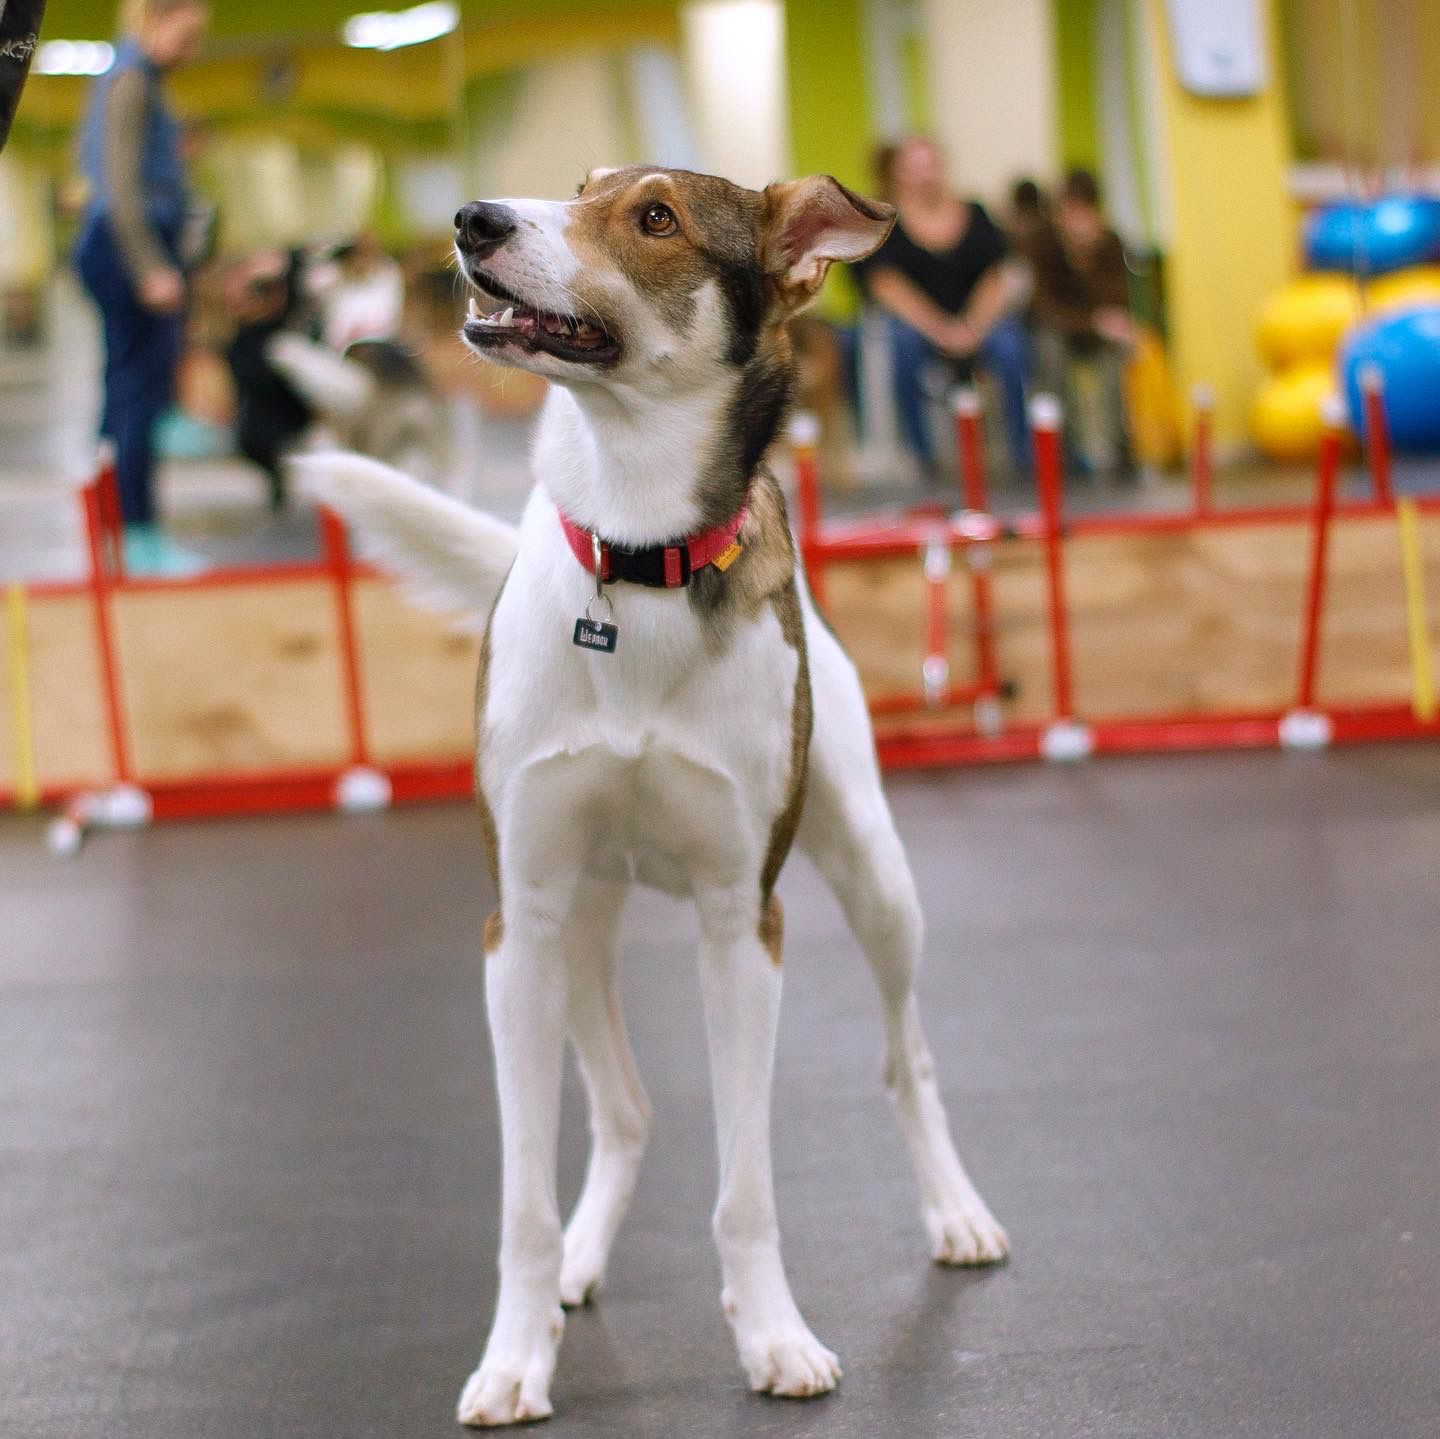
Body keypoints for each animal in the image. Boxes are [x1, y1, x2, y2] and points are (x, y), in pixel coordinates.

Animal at [299, 168, 1008, 1428]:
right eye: (576, 189)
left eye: (657, 218)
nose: (475, 218)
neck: (632, 556)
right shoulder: (518, 927)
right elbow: (523, 1200)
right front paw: (515, 1352)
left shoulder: (742, 924)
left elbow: (747, 1185)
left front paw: (774, 1336)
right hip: (580, 928)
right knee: (625, 1112)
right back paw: (577, 1268)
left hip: (877, 877)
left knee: (906, 1057)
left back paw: (956, 1210)